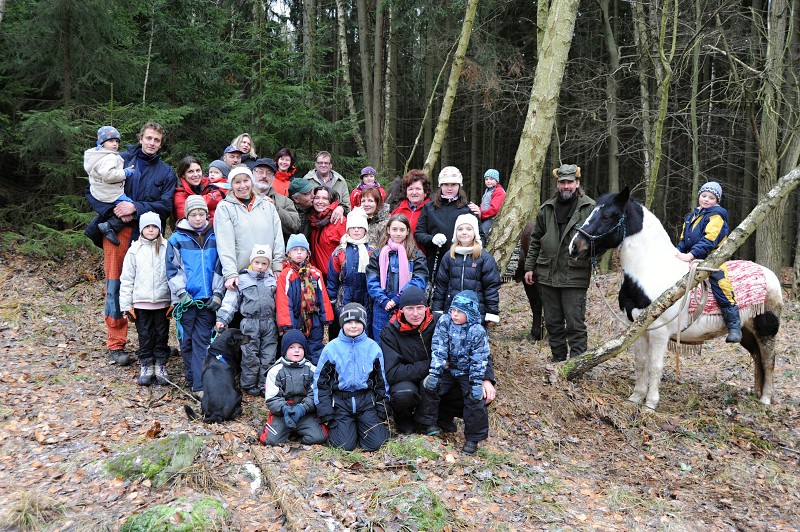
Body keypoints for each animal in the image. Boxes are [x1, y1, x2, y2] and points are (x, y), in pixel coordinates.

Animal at [568, 187, 780, 412]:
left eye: (608, 216)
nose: (574, 247)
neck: (650, 270)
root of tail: (770, 276)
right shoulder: (637, 329)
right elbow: (640, 362)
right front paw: (636, 397)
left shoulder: (659, 331)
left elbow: (655, 365)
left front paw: (650, 404)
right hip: (748, 333)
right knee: (757, 358)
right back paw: (757, 395)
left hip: (766, 331)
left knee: (768, 361)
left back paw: (765, 399)